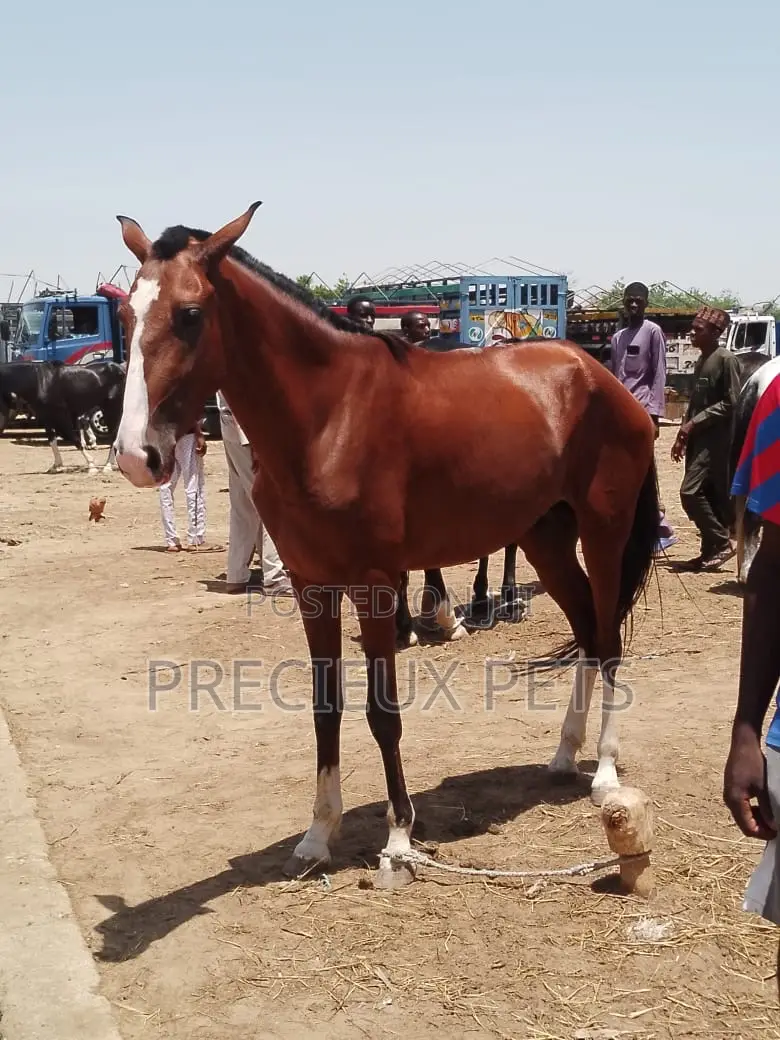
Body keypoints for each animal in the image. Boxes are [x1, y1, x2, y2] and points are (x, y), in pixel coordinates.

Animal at [111, 203, 660, 889]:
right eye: (126, 316)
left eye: (189, 314)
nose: (137, 455)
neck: (328, 417)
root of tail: (598, 375)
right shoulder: (311, 584)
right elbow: (325, 709)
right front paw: (318, 836)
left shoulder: (373, 584)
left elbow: (382, 712)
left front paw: (399, 841)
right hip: (546, 539)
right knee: (586, 630)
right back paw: (564, 753)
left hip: (603, 532)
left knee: (608, 639)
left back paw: (605, 774)